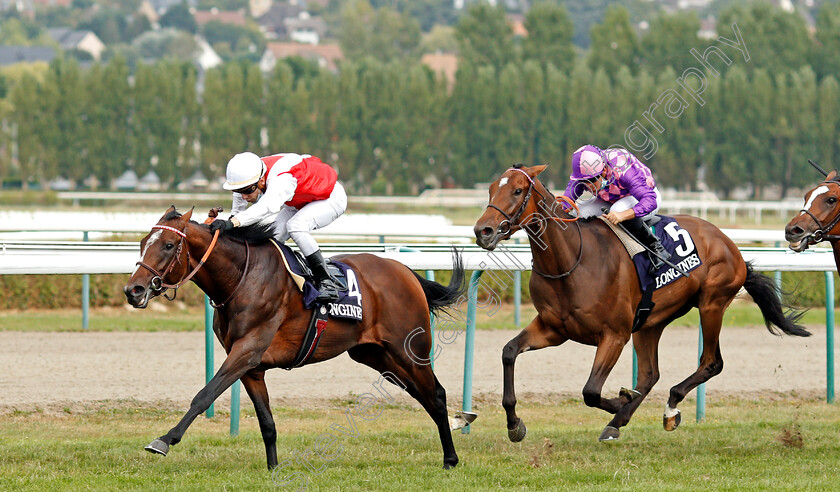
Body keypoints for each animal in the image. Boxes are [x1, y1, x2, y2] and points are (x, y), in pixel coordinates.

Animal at [125, 207, 470, 468]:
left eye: (169, 245)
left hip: (409, 349)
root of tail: (405, 271)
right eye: (142, 242)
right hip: (377, 356)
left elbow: (204, 394)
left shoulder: (247, 350)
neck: (241, 278)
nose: (133, 290)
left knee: (436, 394)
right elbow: (266, 422)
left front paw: (164, 440)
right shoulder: (250, 365)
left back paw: (451, 458)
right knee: (422, 395)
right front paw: (273, 467)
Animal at [472, 164, 808, 442]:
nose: (482, 230)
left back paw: (667, 408)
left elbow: (590, 391)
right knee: (650, 374)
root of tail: (729, 243)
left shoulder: (614, 335)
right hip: (650, 322)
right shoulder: (553, 329)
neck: (572, 261)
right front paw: (514, 424)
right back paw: (618, 422)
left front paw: (620, 399)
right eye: (490, 189)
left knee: (711, 362)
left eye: (517, 190)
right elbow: (509, 352)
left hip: (712, 304)